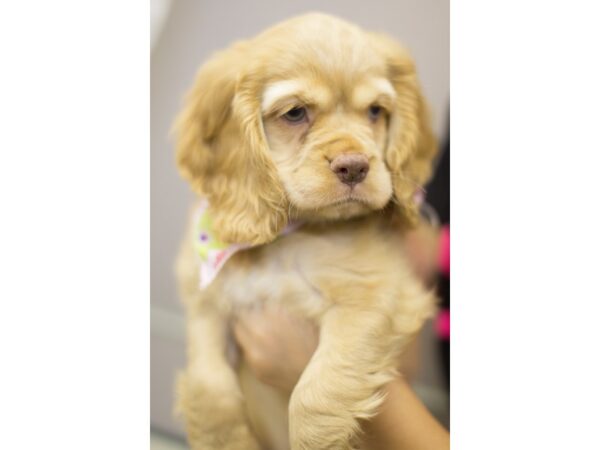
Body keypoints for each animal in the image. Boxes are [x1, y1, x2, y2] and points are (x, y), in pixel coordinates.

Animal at [172, 12, 436, 450]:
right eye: (295, 113)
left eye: (375, 111)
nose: (354, 166)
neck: (291, 234)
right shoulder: (205, 300)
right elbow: (209, 385)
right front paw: (227, 439)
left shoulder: (375, 297)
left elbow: (318, 391)